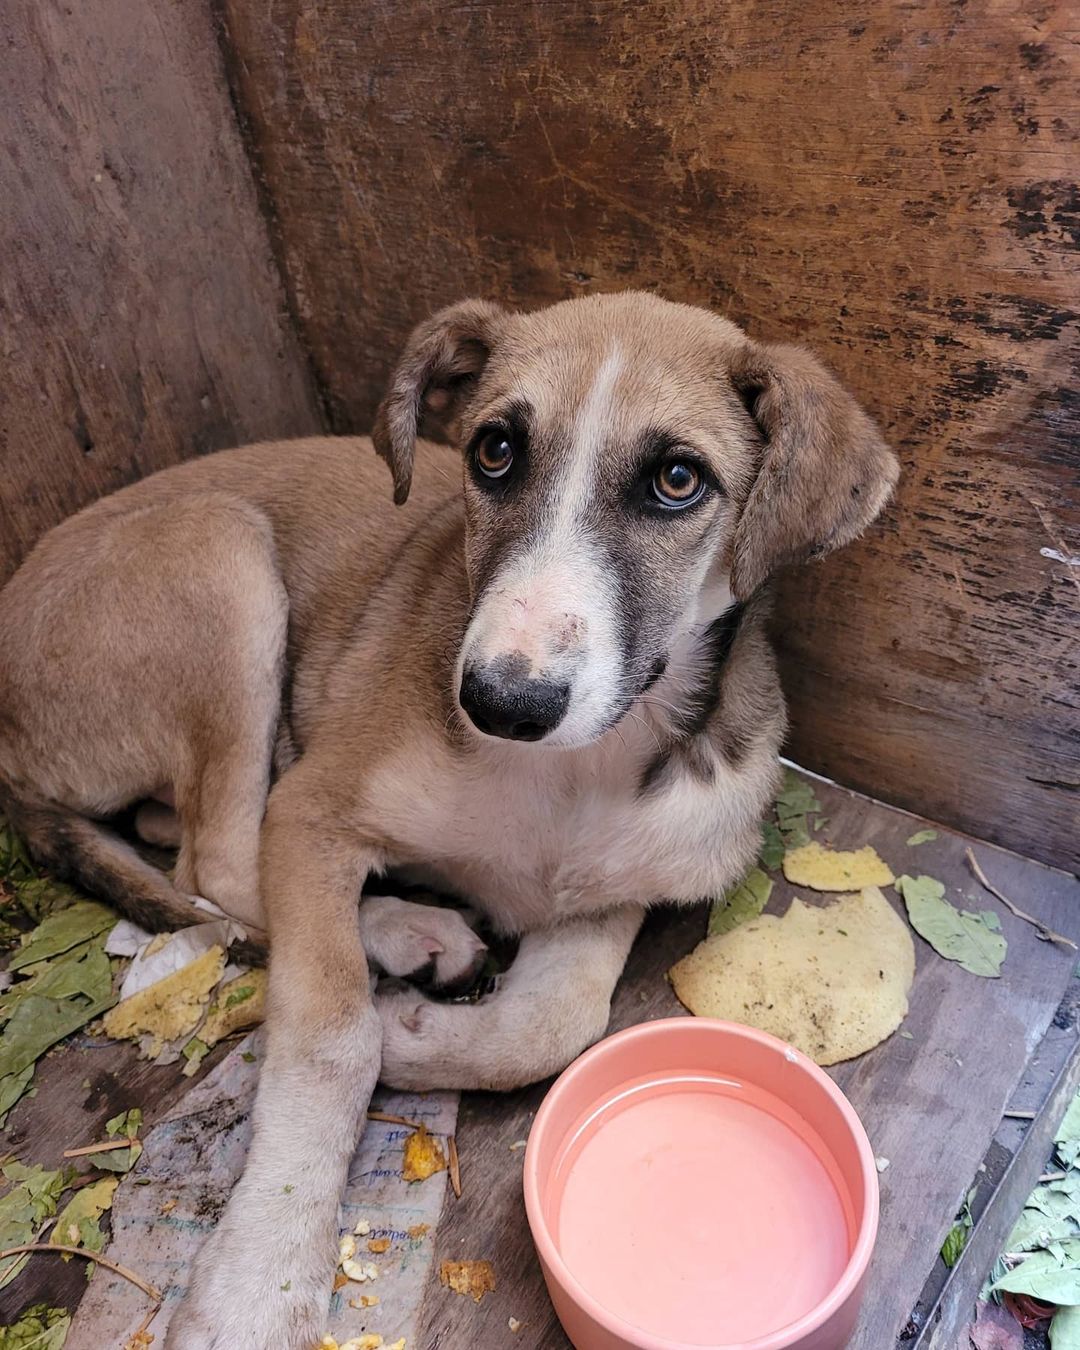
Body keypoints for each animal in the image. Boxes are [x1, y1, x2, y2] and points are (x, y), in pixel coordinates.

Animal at [0, 290, 896, 1344]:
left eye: (678, 481)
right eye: (494, 451)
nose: (502, 702)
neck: (567, 774)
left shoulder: (610, 889)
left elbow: (556, 1024)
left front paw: (417, 1039)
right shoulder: (313, 811)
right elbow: (332, 1031)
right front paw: (261, 1273)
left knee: (166, 833)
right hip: (220, 551)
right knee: (215, 864)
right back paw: (402, 930)